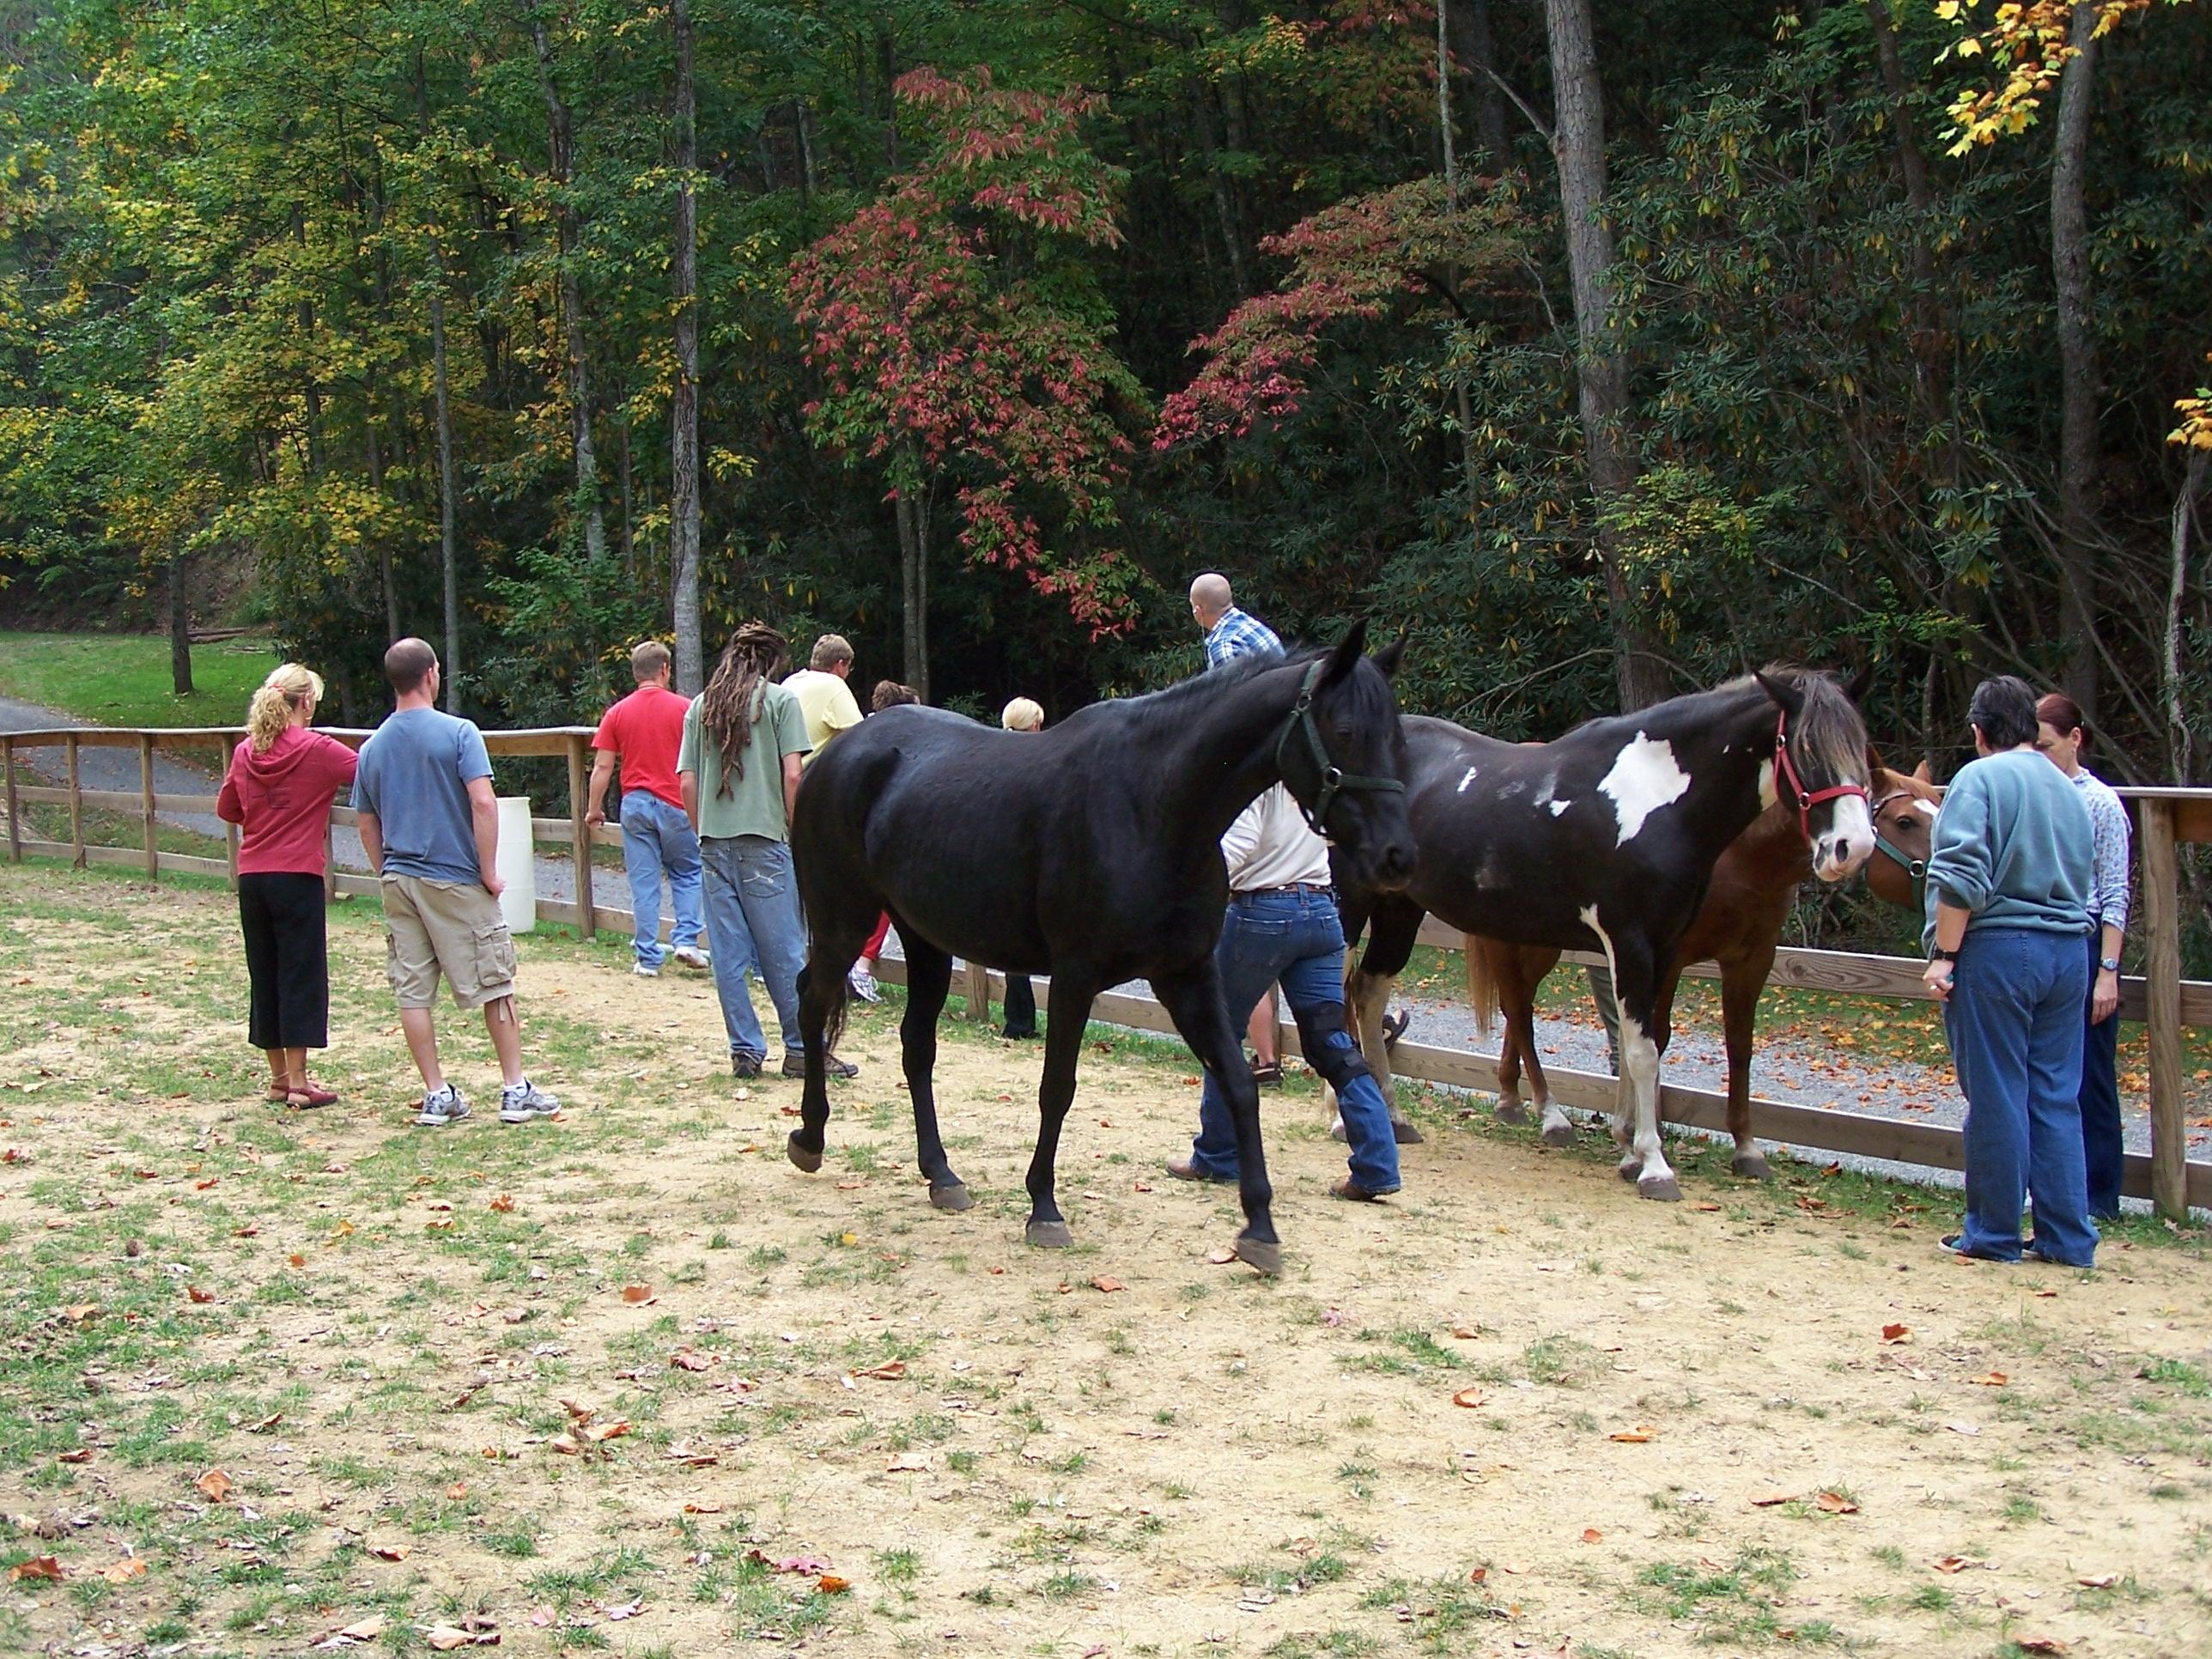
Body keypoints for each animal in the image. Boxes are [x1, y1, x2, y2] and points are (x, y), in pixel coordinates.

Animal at [787, 623, 1424, 1273]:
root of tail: (837, 754)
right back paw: (810, 1138)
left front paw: (1260, 1227)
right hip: (845, 922)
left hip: (925, 940)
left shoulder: (1188, 977)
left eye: (1396, 737)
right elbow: (1057, 1090)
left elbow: (1238, 1086)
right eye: (1345, 730)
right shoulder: (1075, 978)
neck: (1155, 809)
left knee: (916, 1045)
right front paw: (1044, 1208)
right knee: (811, 1002)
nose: (1398, 856)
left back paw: (941, 1175)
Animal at [1335, 667, 1875, 1203]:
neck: (1657, 799)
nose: (1854, 847)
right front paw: (1654, 1166)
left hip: (1400, 909)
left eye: (1863, 751)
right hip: (1351, 903)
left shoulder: (1667, 948)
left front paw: (1632, 1152)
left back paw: (1393, 1118)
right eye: (1804, 747)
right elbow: (1640, 1054)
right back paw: (1342, 1121)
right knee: (1342, 995)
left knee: (1367, 994)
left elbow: (1651, 1044)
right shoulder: (1629, 942)